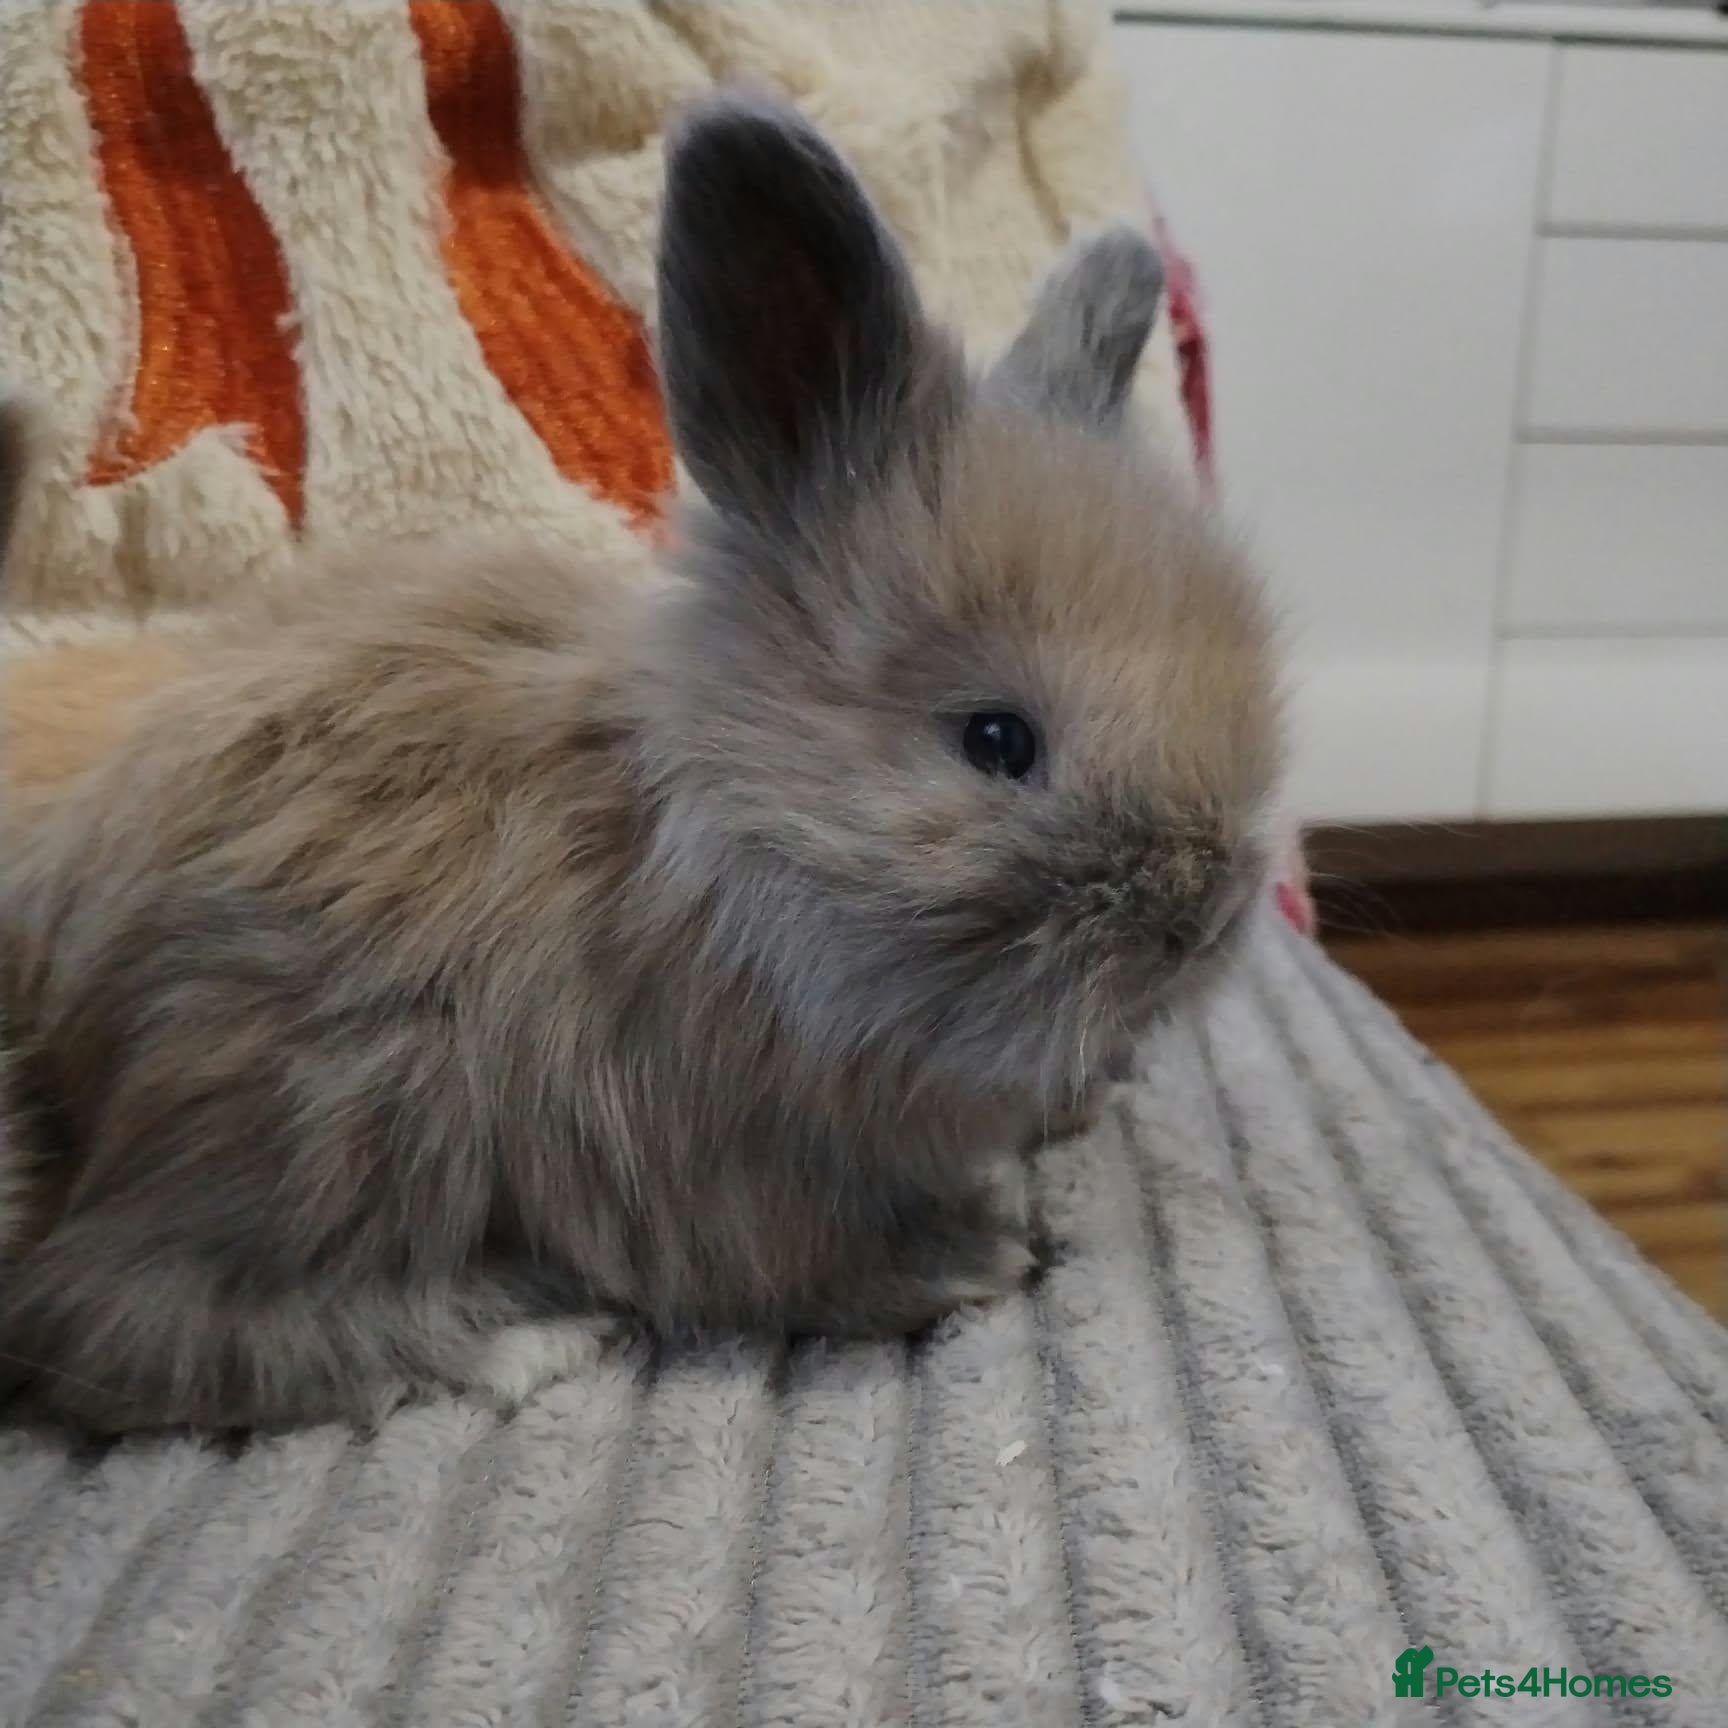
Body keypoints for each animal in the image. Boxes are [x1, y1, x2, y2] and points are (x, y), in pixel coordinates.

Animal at [0, 91, 1282, 1432]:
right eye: (996, 741)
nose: (1204, 919)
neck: (729, 859)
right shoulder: (720, 1171)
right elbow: (805, 1258)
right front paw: (975, 1257)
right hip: (334, 1114)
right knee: (117, 1318)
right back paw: (520, 1340)